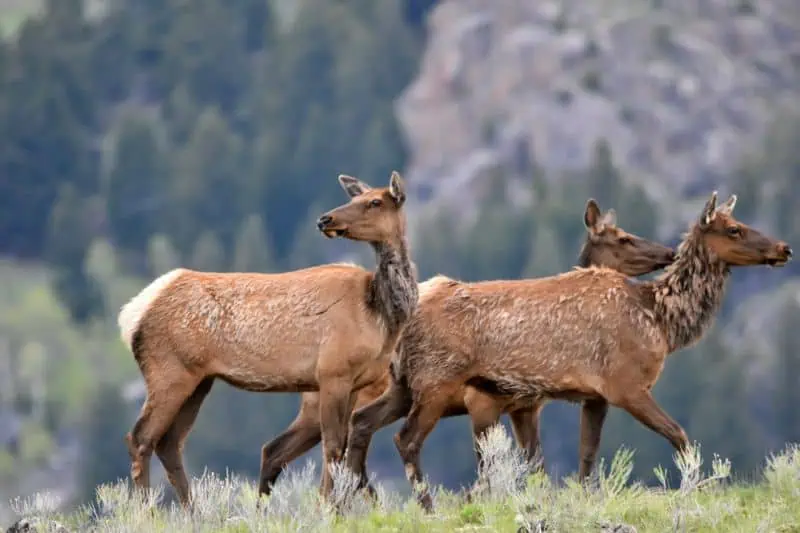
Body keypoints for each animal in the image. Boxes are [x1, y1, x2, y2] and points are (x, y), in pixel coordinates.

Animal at [120, 170, 418, 508]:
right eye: (357, 198)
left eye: (375, 201)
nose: (325, 219)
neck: (378, 313)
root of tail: (132, 313)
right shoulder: (333, 372)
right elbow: (332, 448)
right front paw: (327, 508)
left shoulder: (354, 382)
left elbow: (340, 449)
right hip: (168, 371)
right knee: (141, 438)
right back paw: (147, 511)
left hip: (198, 380)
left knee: (169, 443)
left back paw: (192, 512)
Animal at [258, 198, 676, 494]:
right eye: (623, 238)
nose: (668, 253)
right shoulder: (482, 403)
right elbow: (489, 467)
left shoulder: (525, 406)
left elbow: (534, 465)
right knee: (292, 448)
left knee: (282, 448)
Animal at [340, 189, 792, 510]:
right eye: (734, 229)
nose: (785, 248)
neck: (660, 319)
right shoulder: (626, 385)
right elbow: (679, 436)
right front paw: (695, 488)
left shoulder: (594, 395)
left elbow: (585, 457)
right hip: (437, 380)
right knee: (406, 440)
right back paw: (426, 506)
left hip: (406, 384)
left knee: (362, 421)